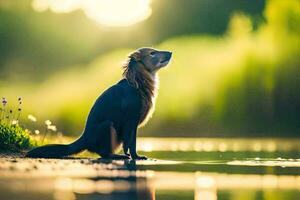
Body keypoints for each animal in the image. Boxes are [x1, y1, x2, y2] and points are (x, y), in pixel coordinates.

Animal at [27, 47, 172, 159]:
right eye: (152, 53)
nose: (170, 52)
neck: (138, 82)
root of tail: (84, 138)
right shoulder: (131, 120)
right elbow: (131, 143)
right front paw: (135, 157)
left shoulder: (133, 124)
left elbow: (131, 142)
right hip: (107, 126)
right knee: (104, 153)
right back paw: (118, 156)